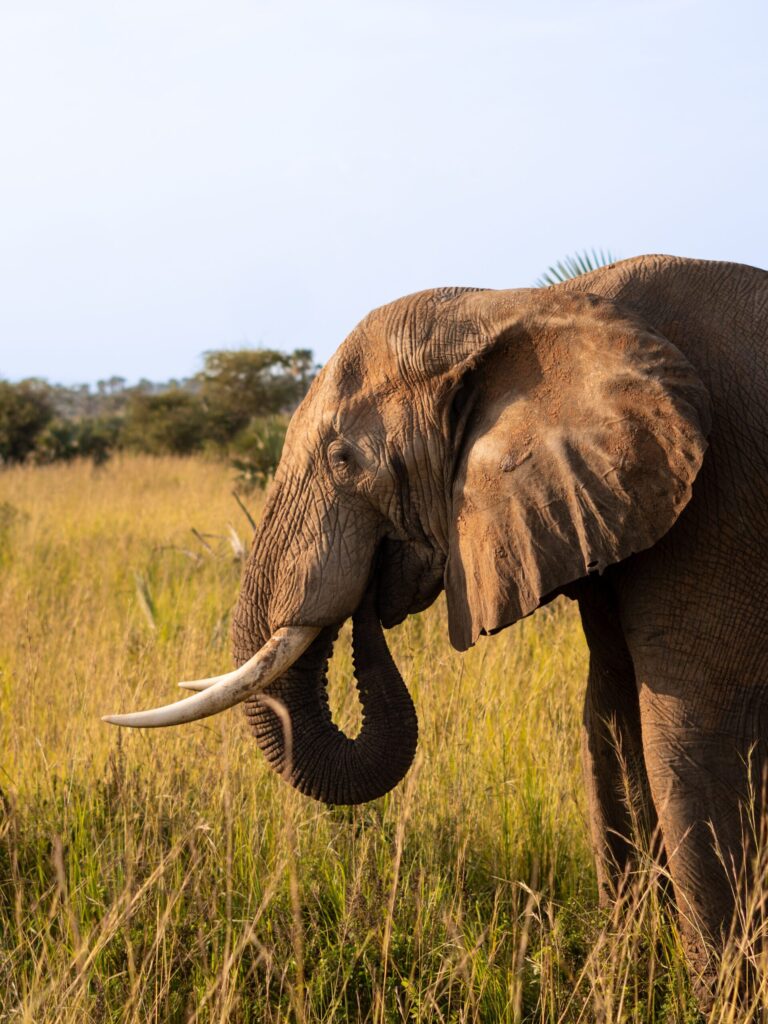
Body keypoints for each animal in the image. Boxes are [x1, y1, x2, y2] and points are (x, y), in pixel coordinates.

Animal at [106, 254, 768, 1005]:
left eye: (343, 461)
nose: (372, 589)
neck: (527, 306)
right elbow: (609, 720)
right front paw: (627, 980)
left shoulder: (723, 502)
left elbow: (688, 744)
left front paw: (724, 1003)